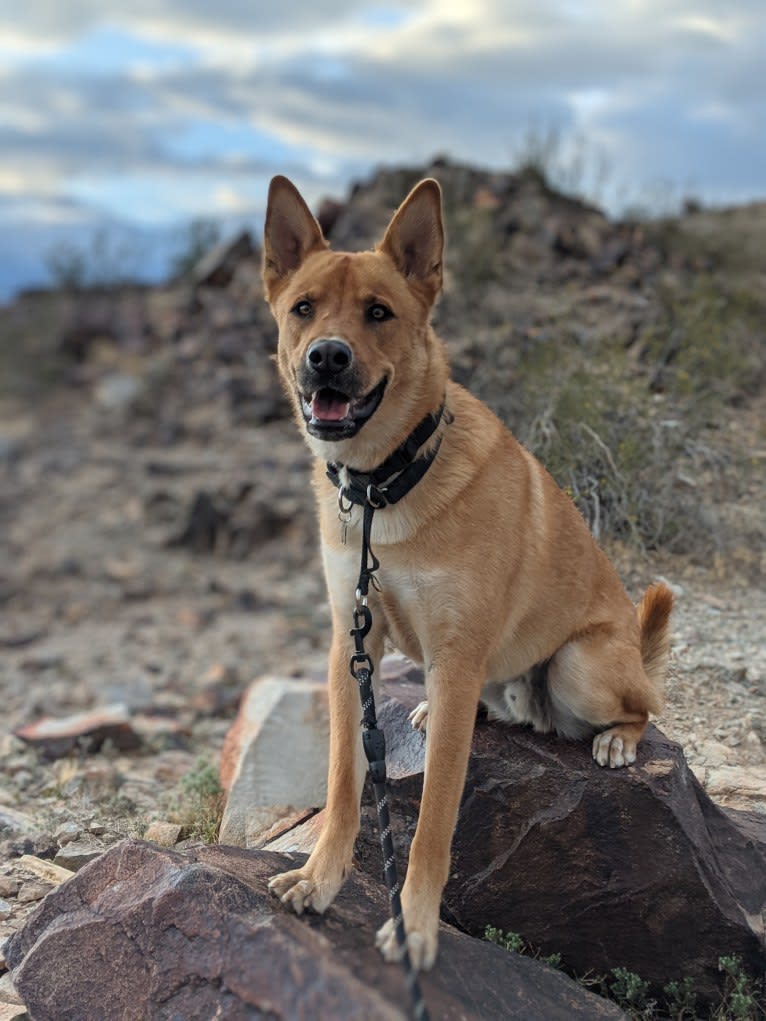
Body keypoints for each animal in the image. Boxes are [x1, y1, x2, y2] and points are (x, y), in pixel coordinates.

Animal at [263, 175, 669, 971]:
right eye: (304, 308)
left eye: (379, 312)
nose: (326, 357)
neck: (385, 486)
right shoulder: (350, 642)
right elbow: (344, 783)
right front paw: (321, 878)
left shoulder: (453, 651)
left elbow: (433, 820)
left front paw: (415, 926)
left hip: (581, 666)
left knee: (646, 706)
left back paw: (616, 739)